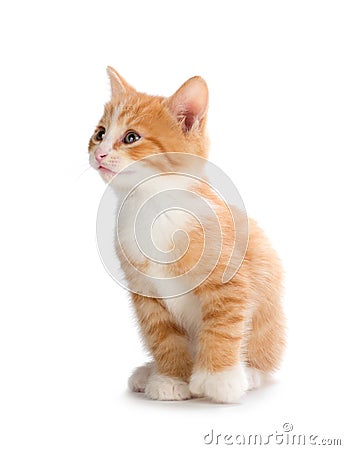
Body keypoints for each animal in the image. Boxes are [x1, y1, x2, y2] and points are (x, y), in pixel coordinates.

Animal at [88, 67, 284, 404]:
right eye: (100, 133)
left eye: (131, 137)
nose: (99, 153)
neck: (152, 206)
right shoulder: (145, 293)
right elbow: (163, 336)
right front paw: (170, 378)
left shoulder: (230, 279)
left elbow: (223, 326)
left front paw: (220, 379)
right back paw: (148, 372)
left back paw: (249, 373)